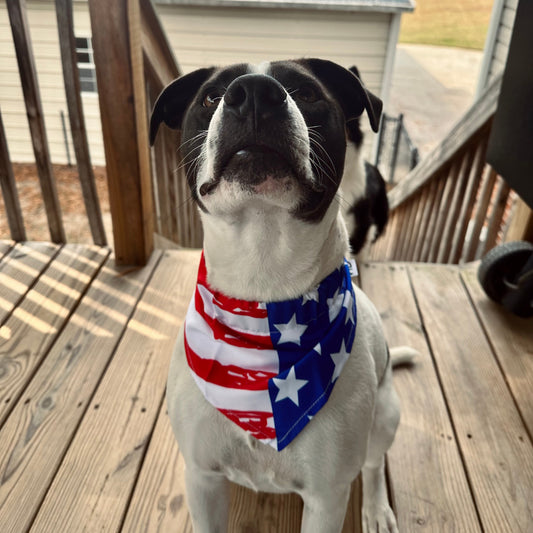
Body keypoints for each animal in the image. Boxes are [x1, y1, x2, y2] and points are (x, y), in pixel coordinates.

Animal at [150, 60, 400, 528]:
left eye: (307, 92)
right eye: (210, 97)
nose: (252, 93)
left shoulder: (326, 499)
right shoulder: (202, 478)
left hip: (386, 417)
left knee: (374, 465)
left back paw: (377, 509)